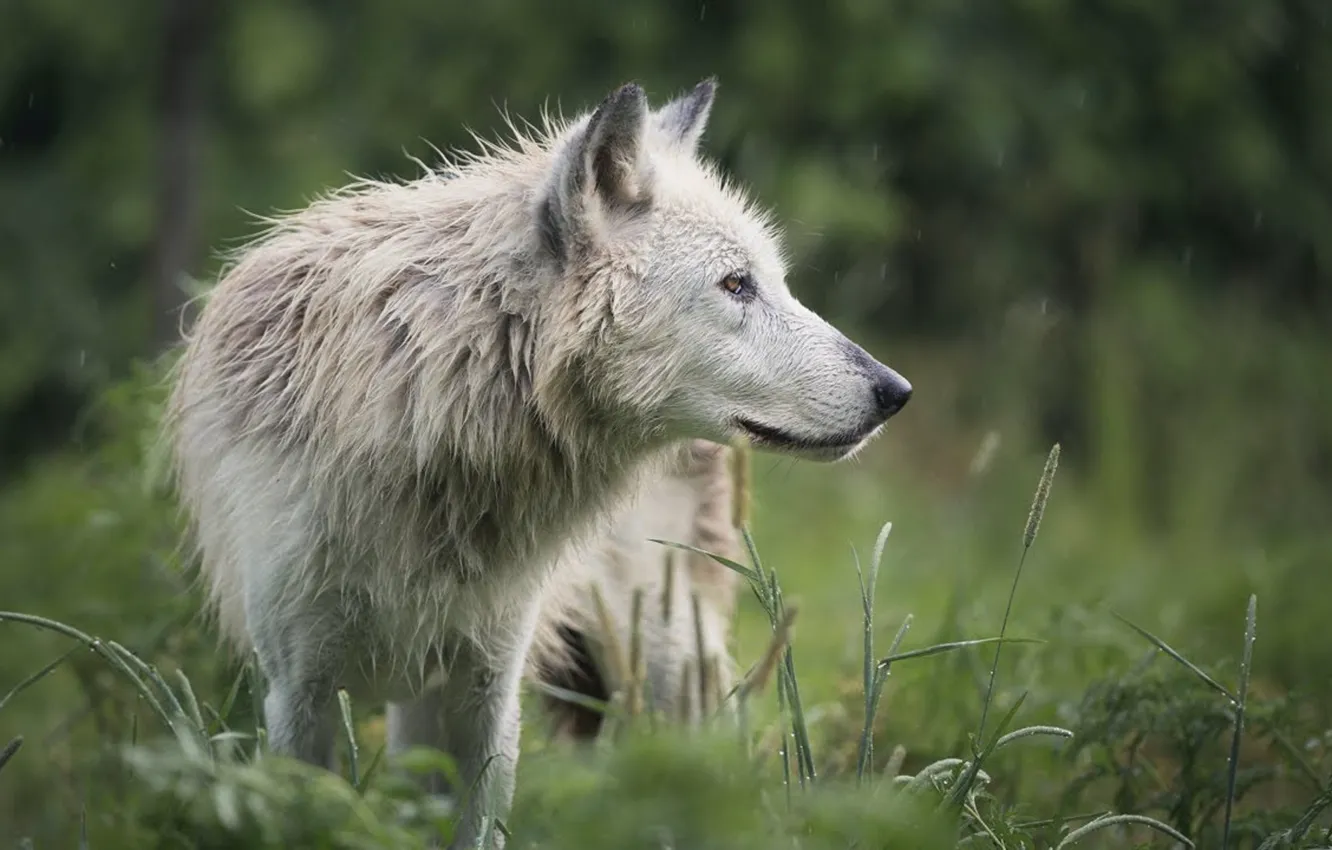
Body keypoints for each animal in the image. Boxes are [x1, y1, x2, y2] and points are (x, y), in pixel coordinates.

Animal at [164, 78, 911, 848]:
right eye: (736, 284)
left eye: (776, 282)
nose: (896, 391)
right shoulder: (302, 692)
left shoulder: (487, 688)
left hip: (664, 664)